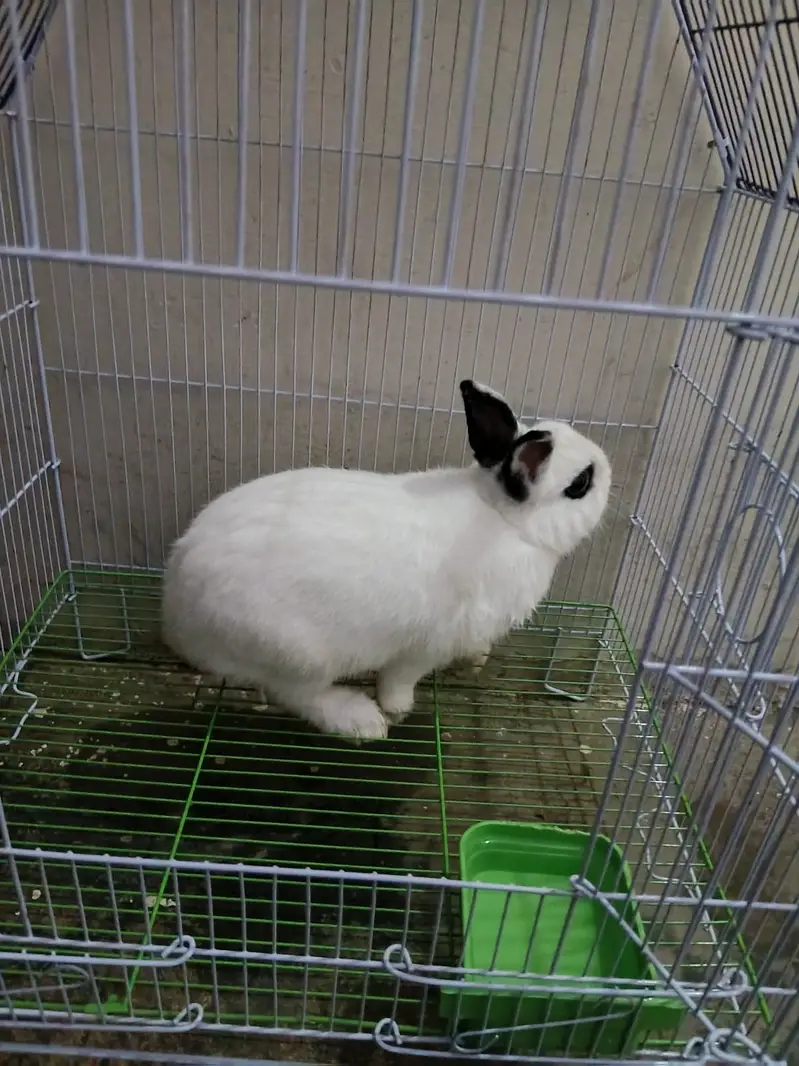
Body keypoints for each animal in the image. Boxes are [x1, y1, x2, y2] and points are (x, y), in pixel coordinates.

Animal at [162, 380, 611, 741]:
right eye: (581, 483)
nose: (609, 464)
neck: (504, 518)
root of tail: (178, 618)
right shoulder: (425, 646)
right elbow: (398, 680)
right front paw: (399, 707)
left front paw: (480, 659)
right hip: (297, 654)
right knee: (295, 693)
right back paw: (362, 721)